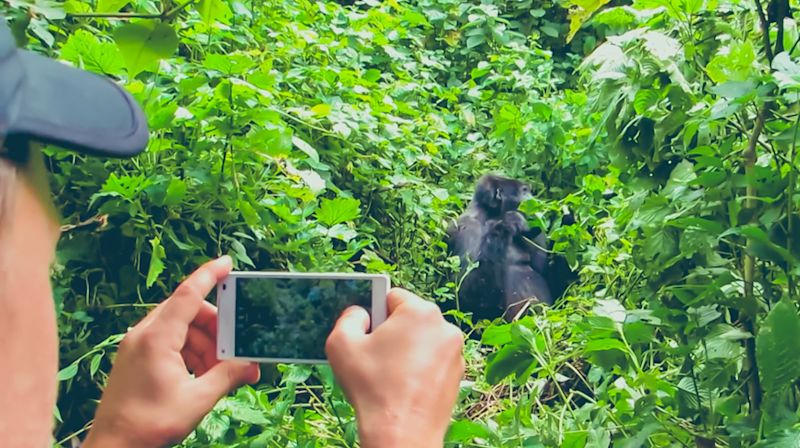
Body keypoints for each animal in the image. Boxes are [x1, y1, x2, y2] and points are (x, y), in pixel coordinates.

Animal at [446, 173, 572, 320]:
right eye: (524, 191)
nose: (535, 200)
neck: (490, 215)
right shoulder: (466, 227)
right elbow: (461, 295)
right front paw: (504, 225)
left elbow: (551, 280)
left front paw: (568, 224)